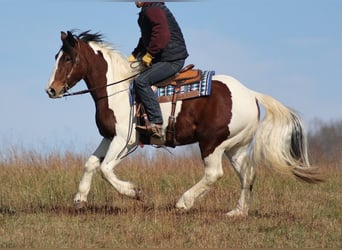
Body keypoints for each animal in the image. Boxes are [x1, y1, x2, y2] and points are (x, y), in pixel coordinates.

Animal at [44, 30, 320, 216]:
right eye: (56, 56)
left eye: (67, 59)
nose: (51, 90)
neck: (119, 90)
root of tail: (251, 94)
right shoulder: (109, 136)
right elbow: (91, 163)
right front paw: (80, 199)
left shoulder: (126, 139)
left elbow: (106, 169)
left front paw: (135, 192)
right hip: (235, 146)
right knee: (247, 173)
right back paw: (237, 212)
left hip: (212, 143)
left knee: (213, 173)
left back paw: (183, 202)